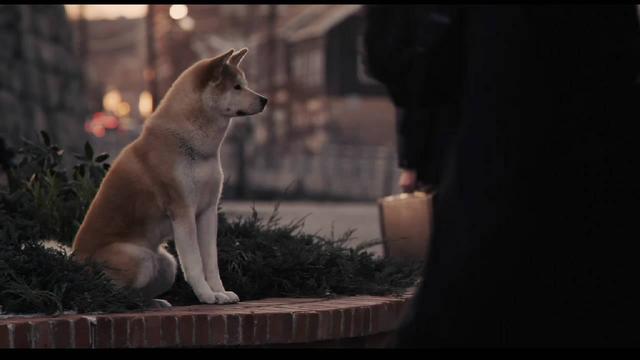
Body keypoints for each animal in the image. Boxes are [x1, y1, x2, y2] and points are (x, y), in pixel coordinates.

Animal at [72, 48, 268, 306]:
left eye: (244, 84)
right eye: (236, 87)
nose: (265, 100)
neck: (193, 146)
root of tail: (73, 261)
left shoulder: (207, 211)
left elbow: (211, 262)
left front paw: (221, 292)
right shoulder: (183, 211)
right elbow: (194, 263)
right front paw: (206, 296)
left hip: (167, 265)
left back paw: (154, 303)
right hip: (140, 259)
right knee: (114, 293)